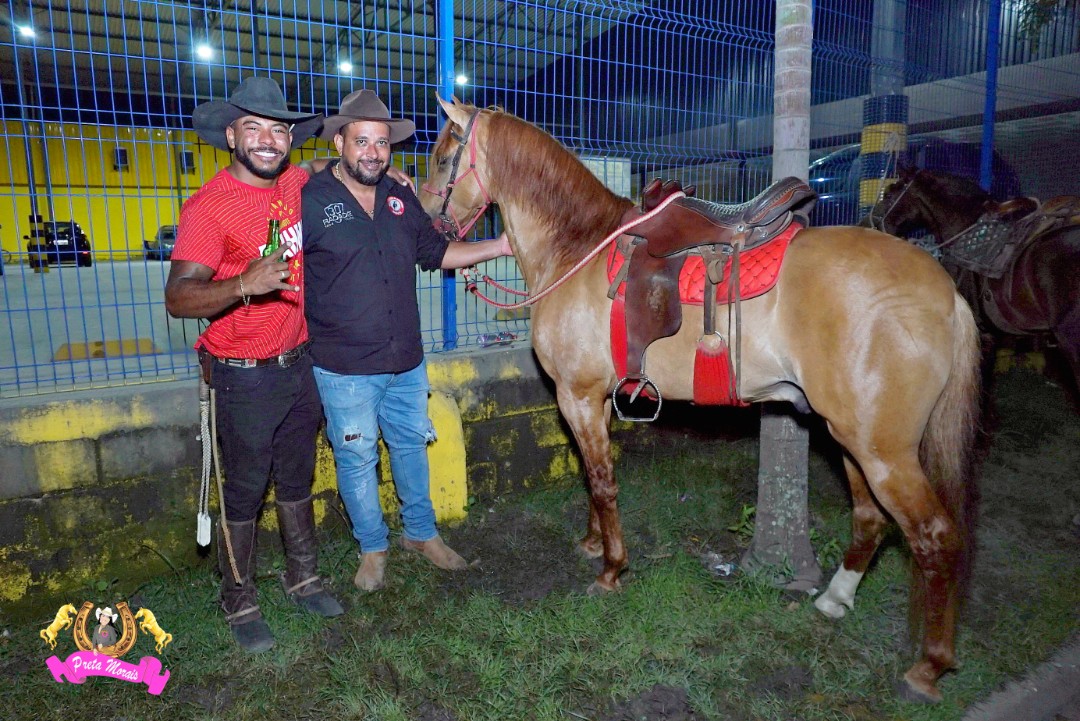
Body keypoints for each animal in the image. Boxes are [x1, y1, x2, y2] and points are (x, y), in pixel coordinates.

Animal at [420, 97, 981, 703]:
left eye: (444, 157)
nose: (427, 222)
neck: (576, 248)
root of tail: (945, 290)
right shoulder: (595, 399)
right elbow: (593, 476)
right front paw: (594, 544)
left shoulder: (577, 395)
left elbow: (601, 481)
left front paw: (612, 569)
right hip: (850, 437)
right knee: (870, 517)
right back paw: (836, 598)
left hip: (883, 452)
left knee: (935, 538)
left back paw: (930, 665)